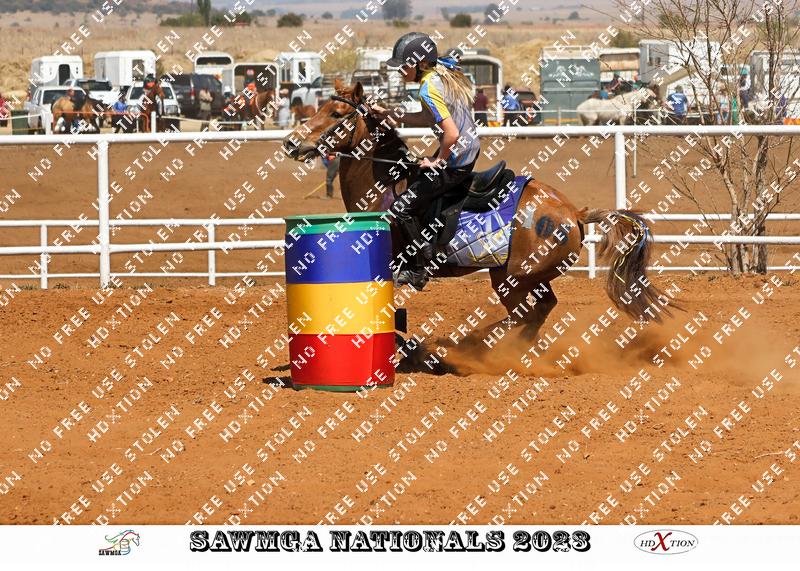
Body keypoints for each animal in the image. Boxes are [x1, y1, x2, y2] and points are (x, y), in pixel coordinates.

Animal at [282, 80, 673, 353]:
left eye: (336, 114)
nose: (291, 143)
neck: (385, 182)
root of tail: (572, 211)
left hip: (510, 279)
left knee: (528, 314)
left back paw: (471, 345)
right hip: (528, 278)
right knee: (541, 310)